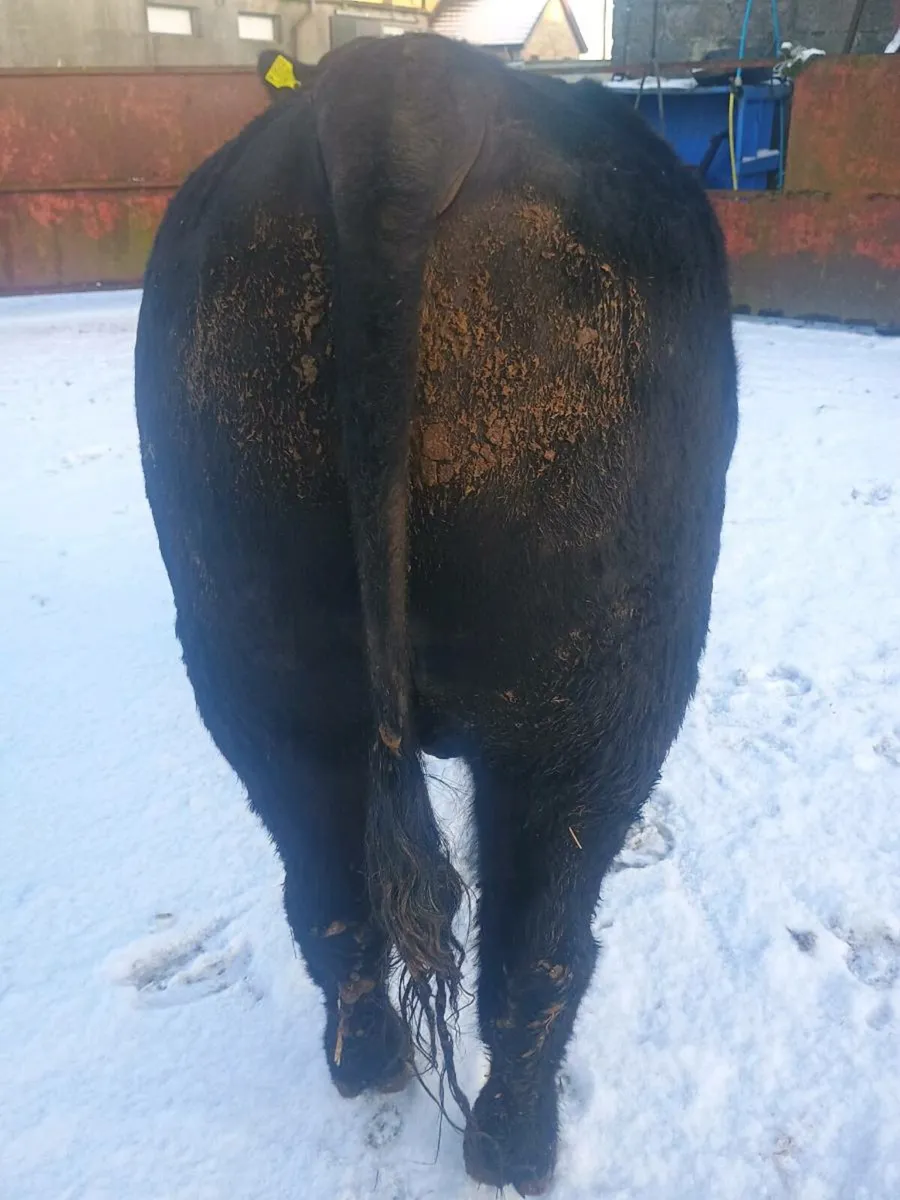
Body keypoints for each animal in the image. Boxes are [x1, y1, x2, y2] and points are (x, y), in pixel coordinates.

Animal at [134, 33, 737, 1195]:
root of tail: (403, 83)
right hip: (602, 687)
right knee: (538, 938)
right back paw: (517, 1145)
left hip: (259, 666)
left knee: (331, 895)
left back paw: (366, 1065)